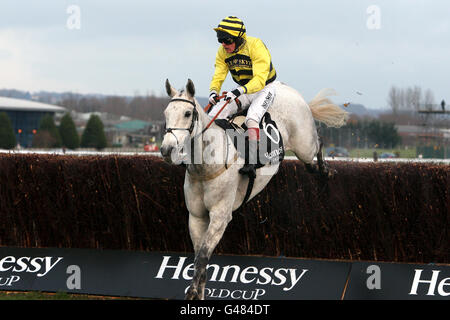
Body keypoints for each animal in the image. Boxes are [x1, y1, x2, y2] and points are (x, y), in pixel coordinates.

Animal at [161, 79, 348, 298]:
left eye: (187, 113)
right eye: (166, 113)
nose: (166, 150)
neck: (206, 165)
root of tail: (287, 89)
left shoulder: (220, 216)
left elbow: (202, 258)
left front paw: (191, 293)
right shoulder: (196, 217)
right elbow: (200, 259)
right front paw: (198, 294)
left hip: (304, 145)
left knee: (319, 143)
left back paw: (327, 170)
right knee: (313, 162)